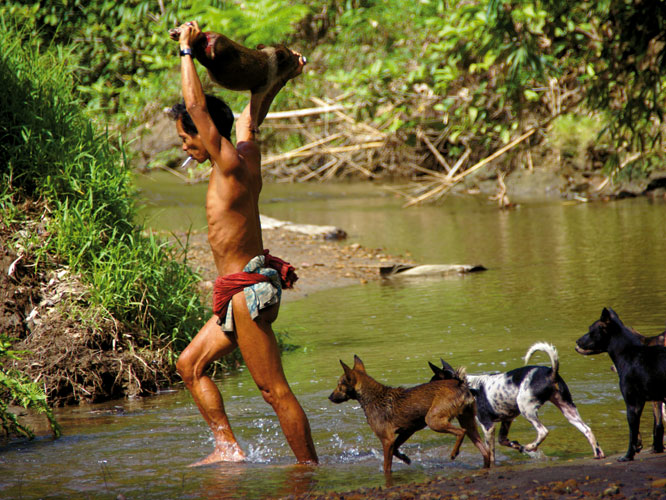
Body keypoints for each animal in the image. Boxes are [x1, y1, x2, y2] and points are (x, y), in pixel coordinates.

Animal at [326, 356, 488, 472]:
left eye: (339, 385)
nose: (330, 397)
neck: (371, 397)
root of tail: (460, 384)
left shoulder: (387, 439)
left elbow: (387, 465)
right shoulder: (406, 431)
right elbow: (396, 450)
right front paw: (406, 459)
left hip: (433, 420)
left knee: (461, 432)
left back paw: (454, 453)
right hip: (468, 421)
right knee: (485, 451)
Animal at [428, 342, 604, 462]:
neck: (466, 385)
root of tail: (551, 371)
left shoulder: (487, 426)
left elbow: (490, 451)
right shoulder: (507, 420)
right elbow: (503, 440)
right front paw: (516, 445)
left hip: (527, 409)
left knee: (543, 431)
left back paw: (531, 446)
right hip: (569, 410)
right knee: (587, 430)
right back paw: (598, 453)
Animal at [572, 308, 664, 460]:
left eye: (591, 330)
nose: (577, 341)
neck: (629, 353)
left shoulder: (633, 403)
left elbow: (633, 433)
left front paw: (628, 456)